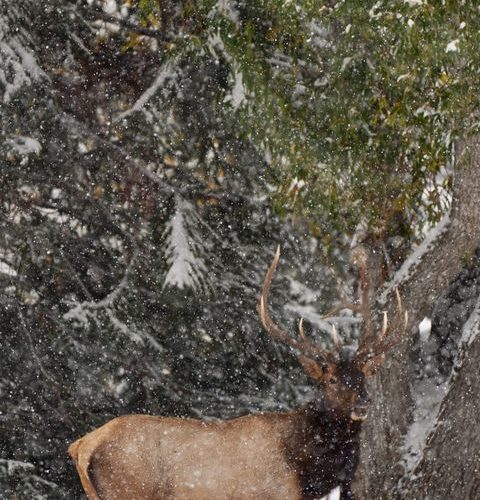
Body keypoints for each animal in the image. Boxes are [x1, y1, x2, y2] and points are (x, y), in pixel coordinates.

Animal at [69, 246, 408, 500]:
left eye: (364, 377)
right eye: (332, 380)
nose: (363, 403)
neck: (309, 473)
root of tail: (82, 446)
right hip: (127, 490)